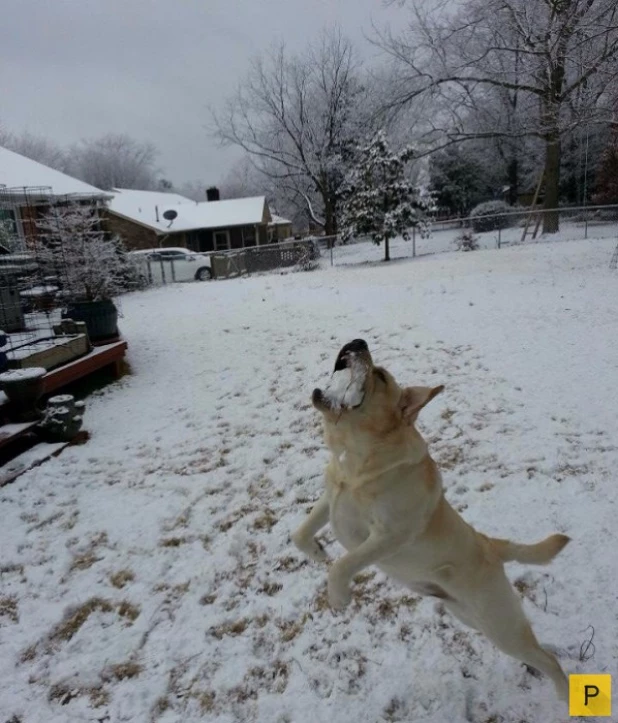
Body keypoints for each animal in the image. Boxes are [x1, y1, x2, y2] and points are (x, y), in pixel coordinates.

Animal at [292, 340, 568, 700]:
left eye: (380, 376)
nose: (357, 342)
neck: (356, 463)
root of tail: (492, 545)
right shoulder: (330, 499)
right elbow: (300, 534)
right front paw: (317, 552)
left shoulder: (391, 534)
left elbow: (344, 564)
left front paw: (339, 597)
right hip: (472, 618)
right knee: (537, 652)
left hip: (499, 623)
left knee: (549, 659)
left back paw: (566, 694)